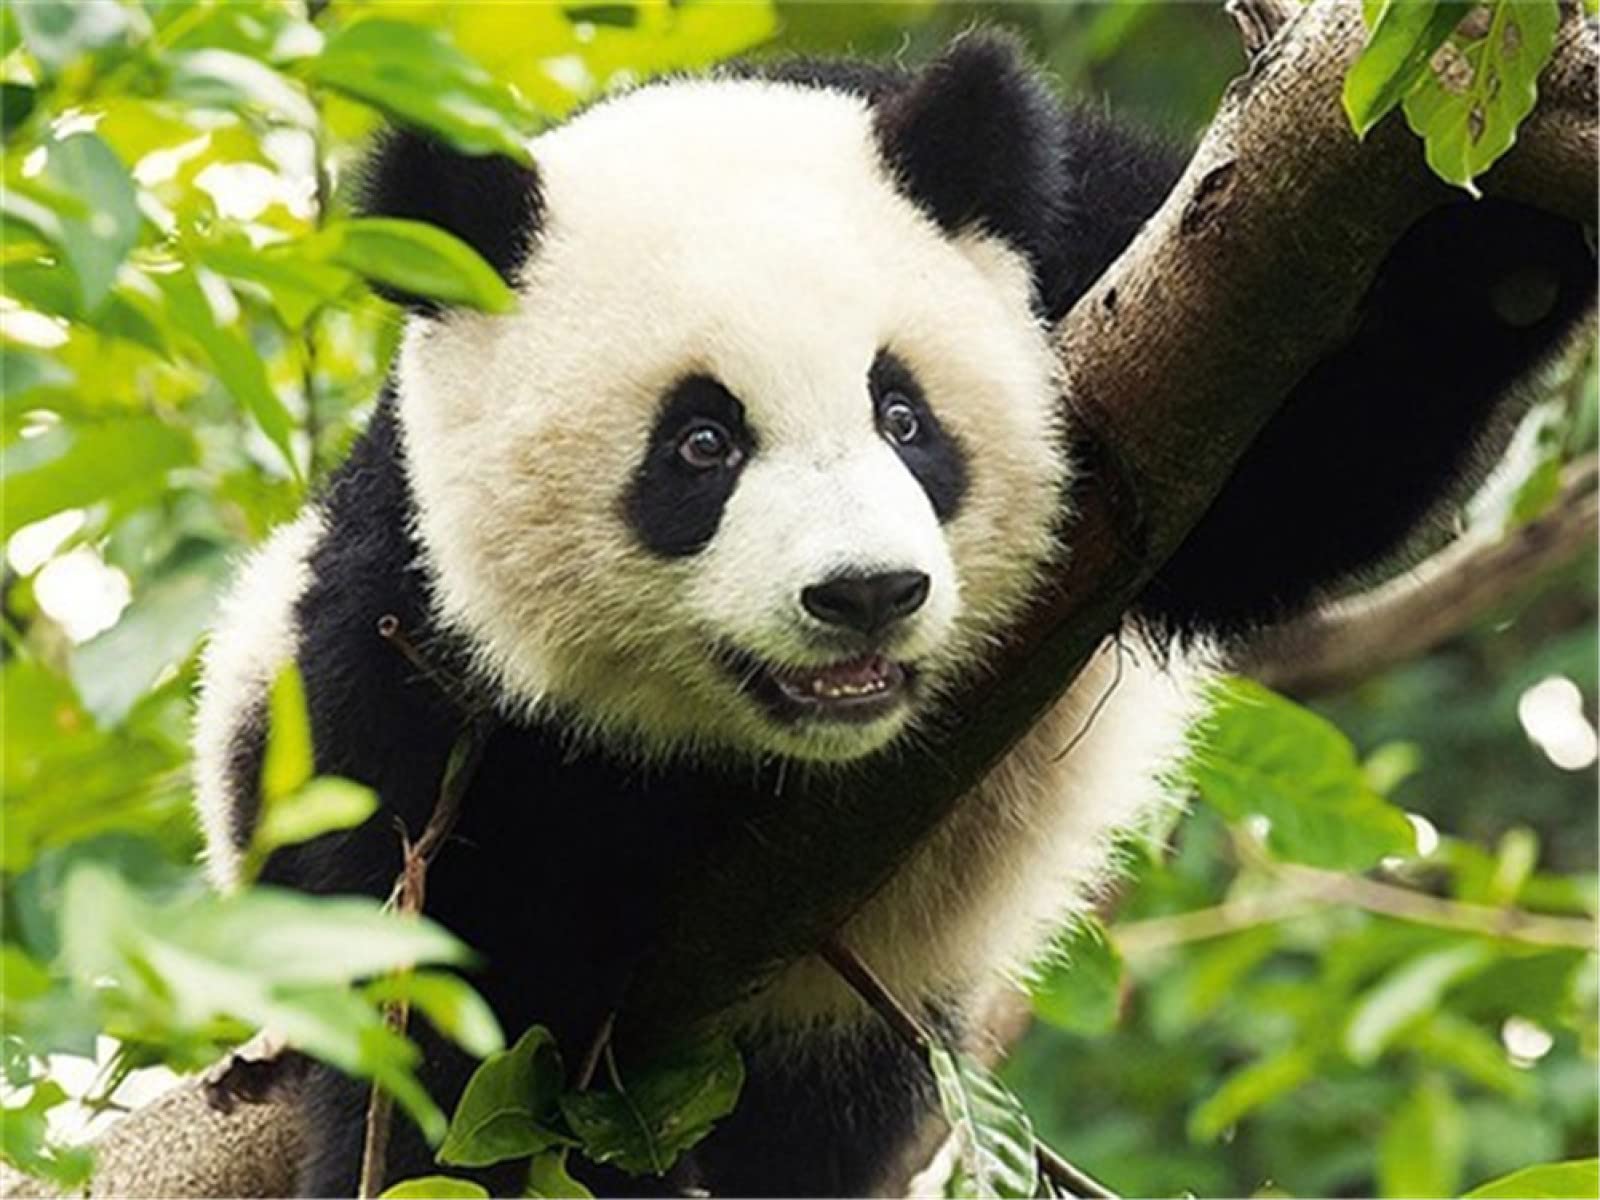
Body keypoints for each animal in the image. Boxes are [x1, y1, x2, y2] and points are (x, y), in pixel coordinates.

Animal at [191, 32, 1594, 1199]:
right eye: (700, 445)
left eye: (904, 415)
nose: (864, 593)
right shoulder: (412, 660)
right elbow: (457, 1015)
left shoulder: (1103, 260)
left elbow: (1301, 470)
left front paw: (1507, 212)